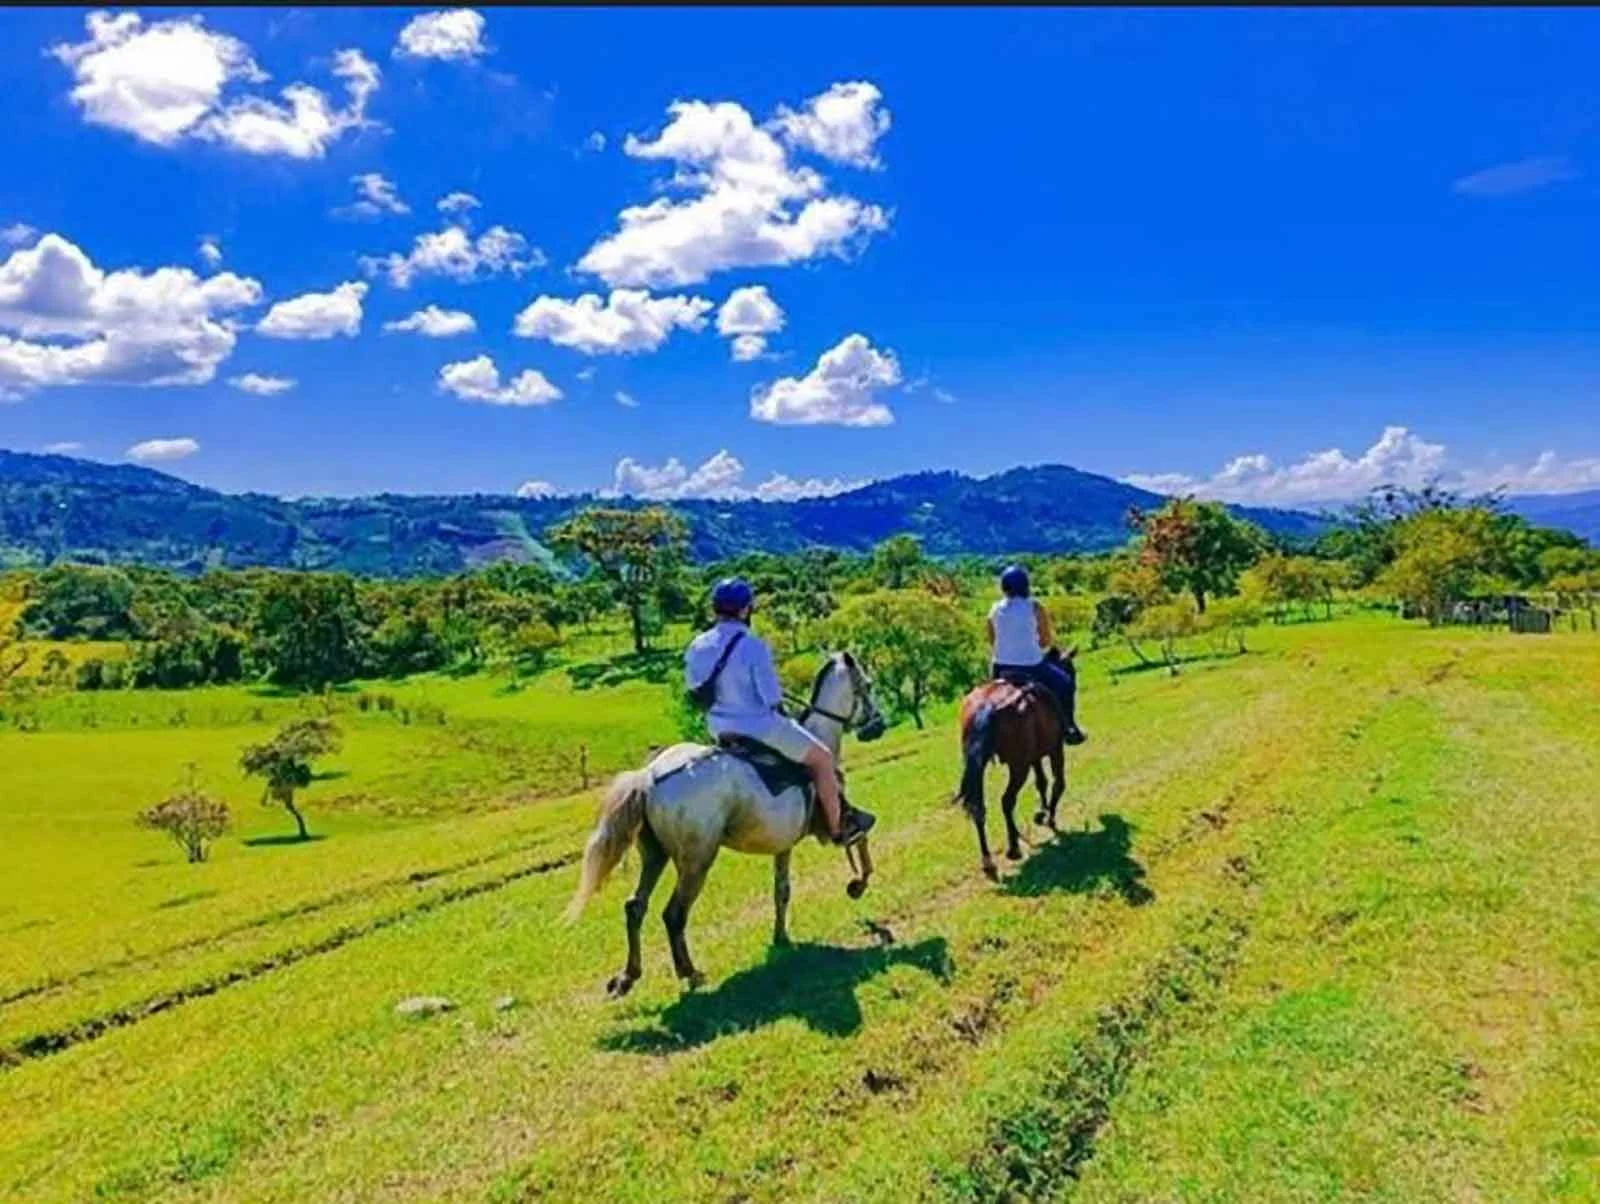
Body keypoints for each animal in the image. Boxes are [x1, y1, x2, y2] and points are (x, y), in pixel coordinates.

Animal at [566, 653, 889, 992]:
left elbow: (782, 890)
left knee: (635, 906)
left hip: (655, 856)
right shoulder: (835, 821)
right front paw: (858, 885)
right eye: (868, 685)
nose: (878, 726)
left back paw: (628, 976)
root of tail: (649, 778)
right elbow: (860, 836)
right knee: (674, 914)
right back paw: (689, 972)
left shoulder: (783, 845)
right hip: (696, 861)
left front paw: (781, 937)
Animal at [947, 650, 1088, 877]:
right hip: (1018, 765)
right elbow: (1058, 782)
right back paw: (1013, 847)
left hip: (979, 764)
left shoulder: (1034, 755)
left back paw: (988, 860)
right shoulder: (1054, 748)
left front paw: (1041, 812)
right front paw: (1049, 818)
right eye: (1071, 673)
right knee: (1007, 800)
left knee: (978, 807)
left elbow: (1041, 782)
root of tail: (988, 705)